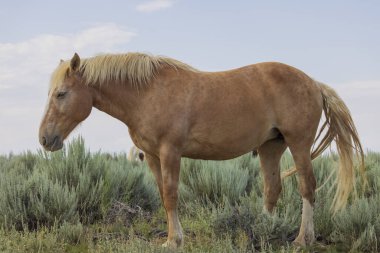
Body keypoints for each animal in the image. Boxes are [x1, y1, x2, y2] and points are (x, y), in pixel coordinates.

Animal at [38, 52, 366, 248]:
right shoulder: (152, 157)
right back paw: (263, 230)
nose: (44, 138)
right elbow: (163, 195)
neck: (146, 93)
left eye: (61, 93)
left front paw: (175, 241)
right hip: (271, 146)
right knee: (272, 189)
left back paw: (302, 239)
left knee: (307, 187)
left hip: (298, 144)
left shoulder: (170, 152)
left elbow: (171, 196)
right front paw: (173, 237)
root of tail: (314, 83)